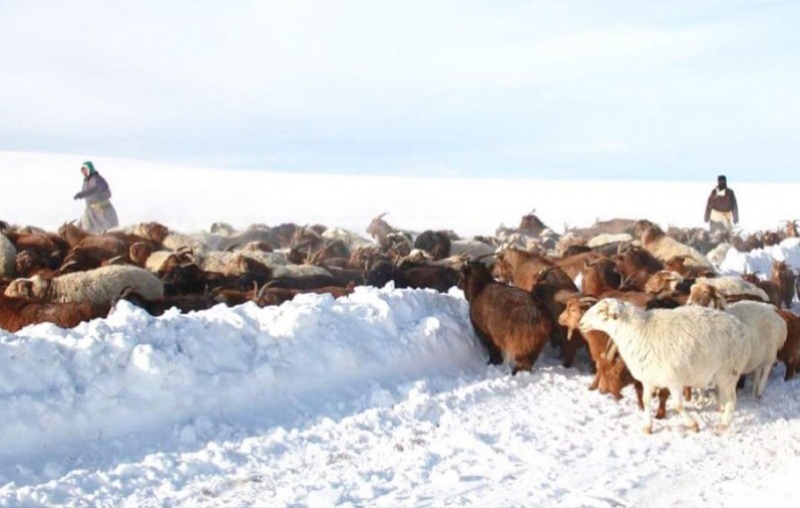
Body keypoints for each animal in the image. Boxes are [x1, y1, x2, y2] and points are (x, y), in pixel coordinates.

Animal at [576, 298, 752, 432]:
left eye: (601, 311)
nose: (581, 323)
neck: (639, 331)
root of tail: (741, 327)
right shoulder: (648, 379)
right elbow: (646, 400)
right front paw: (647, 427)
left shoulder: (674, 380)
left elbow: (677, 405)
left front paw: (693, 425)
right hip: (722, 375)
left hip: (729, 372)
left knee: (732, 399)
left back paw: (724, 424)